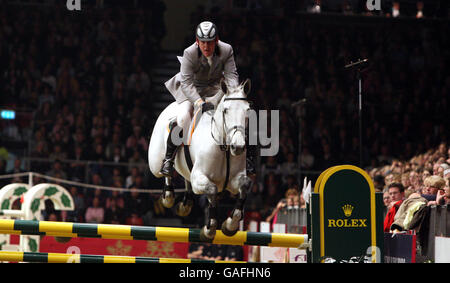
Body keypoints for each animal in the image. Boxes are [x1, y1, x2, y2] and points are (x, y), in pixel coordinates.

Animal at [149, 79, 251, 241]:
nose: (238, 147)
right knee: (165, 173)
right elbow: (212, 190)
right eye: (226, 110)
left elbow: (245, 185)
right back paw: (168, 196)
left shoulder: (235, 180)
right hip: (155, 164)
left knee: (186, 176)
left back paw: (185, 204)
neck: (224, 149)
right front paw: (209, 229)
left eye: (247, 110)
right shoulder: (200, 178)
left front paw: (230, 225)